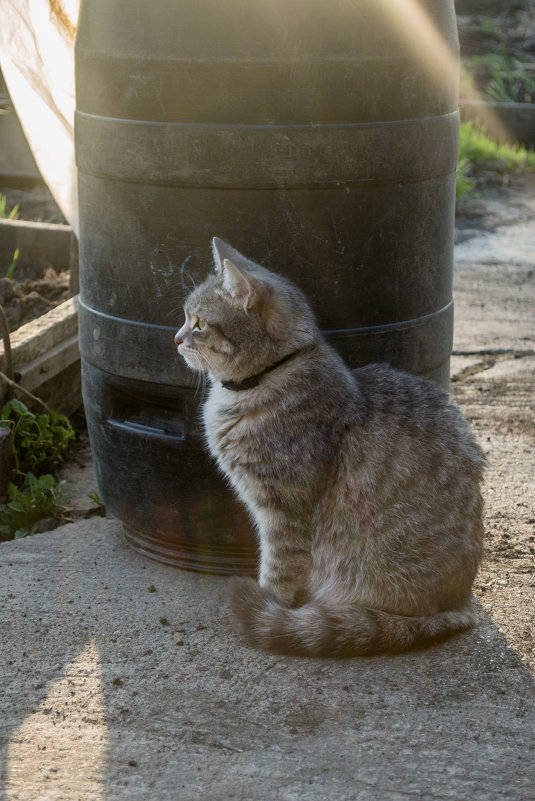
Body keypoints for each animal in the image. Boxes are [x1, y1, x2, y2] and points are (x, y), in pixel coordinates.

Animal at [176, 238, 486, 656]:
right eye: (185, 317)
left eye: (199, 323)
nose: (176, 338)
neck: (270, 376)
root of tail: (461, 605)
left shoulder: (283, 511)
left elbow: (277, 571)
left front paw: (267, 605)